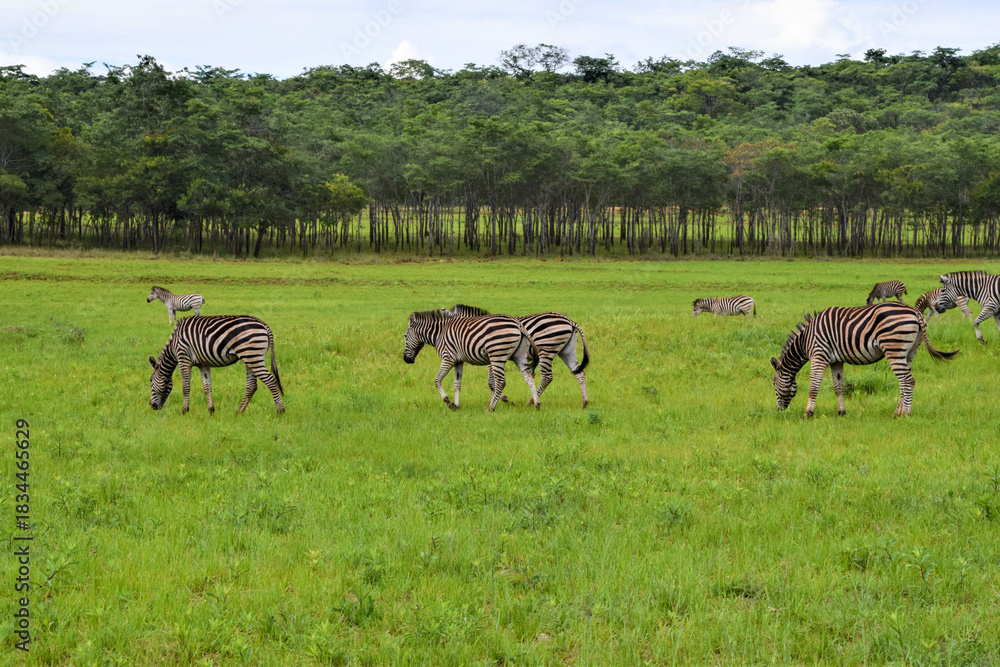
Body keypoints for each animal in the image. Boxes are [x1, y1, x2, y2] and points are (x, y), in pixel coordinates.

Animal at [148, 315, 284, 414]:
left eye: (150, 381)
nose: (152, 406)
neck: (174, 346)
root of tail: (264, 325)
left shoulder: (184, 358)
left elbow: (185, 387)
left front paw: (184, 410)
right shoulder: (203, 364)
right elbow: (207, 387)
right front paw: (211, 410)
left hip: (252, 356)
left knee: (271, 380)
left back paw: (280, 410)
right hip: (250, 357)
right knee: (251, 386)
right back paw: (238, 412)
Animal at [403, 309, 541, 411]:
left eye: (404, 336)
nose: (406, 359)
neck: (439, 334)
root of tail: (517, 324)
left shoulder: (448, 358)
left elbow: (437, 380)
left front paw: (448, 402)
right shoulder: (458, 361)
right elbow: (457, 384)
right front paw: (456, 405)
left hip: (497, 355)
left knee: (501, 382)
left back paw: (491, 408)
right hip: (519, 356)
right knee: (529, 377)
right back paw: (536, 404)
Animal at [446, 304, 591, 408]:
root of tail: (570, 321)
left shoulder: (493, 357)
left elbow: (491, 382)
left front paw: (500, 399)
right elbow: (493, 381)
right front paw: (493, 401)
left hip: (546, 349)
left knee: (547, 377)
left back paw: (531, 401)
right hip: (566, 351)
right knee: (579, 373)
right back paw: (584, 402)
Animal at [770, 302, 958, 417]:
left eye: (773, 384)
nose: (778, 411)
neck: (806, 340)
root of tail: (915, 312)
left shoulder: (818, 355)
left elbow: (813, 387)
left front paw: (808, 413)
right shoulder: (835, 360)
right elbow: (838, 387)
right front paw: (841, 412)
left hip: (893, 347)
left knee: (908, 380)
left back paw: (906, 414)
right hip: (908, 352)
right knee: (904, 381)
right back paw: (897, 413)